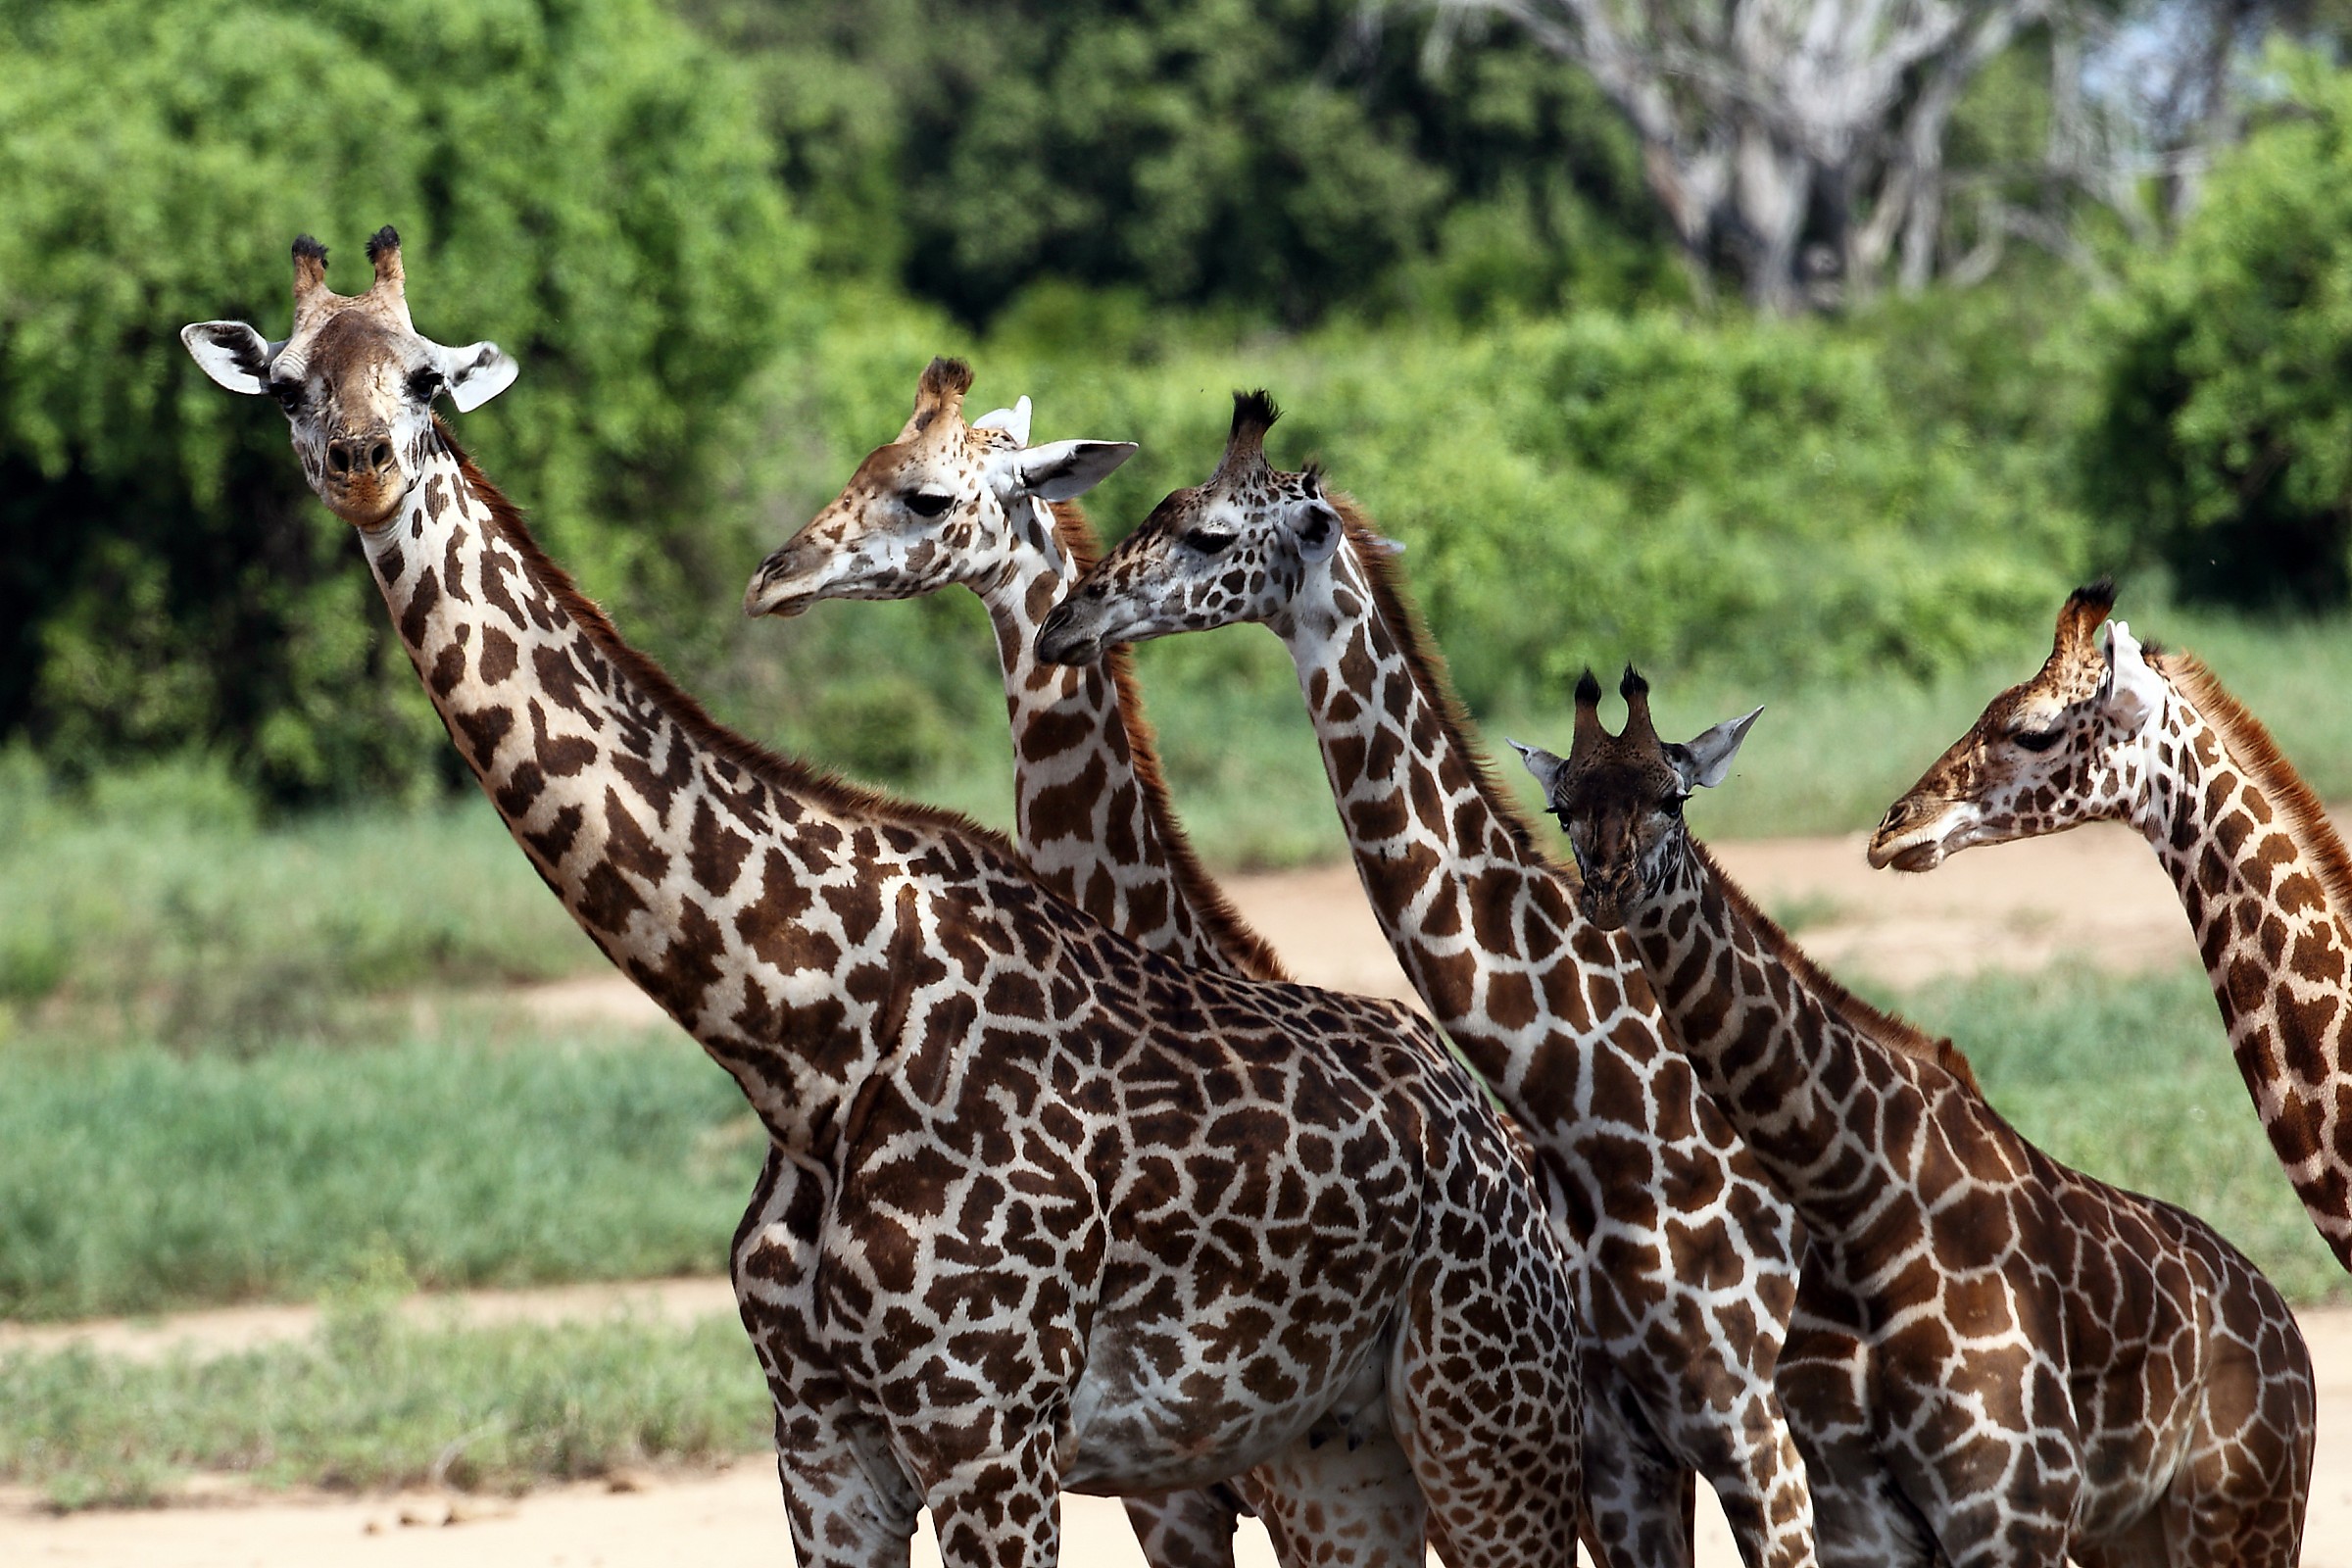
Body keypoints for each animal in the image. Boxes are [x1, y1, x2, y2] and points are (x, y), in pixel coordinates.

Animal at [1036, 394, 1820, 1568]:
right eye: (1155, 504)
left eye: (1210, 536)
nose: (1068, 622)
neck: (1637, 1136)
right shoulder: (1623, 1455)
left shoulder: (1763, 1438)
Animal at [1517, 663, 2312, 1565]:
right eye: (1563, 808)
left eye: (1672, 796)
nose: (1609, 889)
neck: (1851, 1204)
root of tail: (2287, 1328)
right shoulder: (1854, 1512)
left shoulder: (2007, 1508)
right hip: (2133, 1531)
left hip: (2242, 1513)